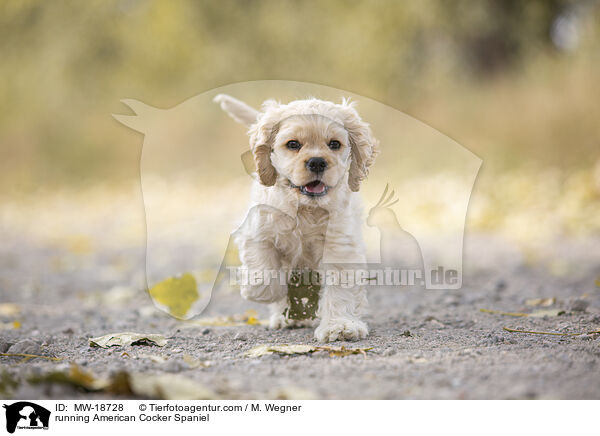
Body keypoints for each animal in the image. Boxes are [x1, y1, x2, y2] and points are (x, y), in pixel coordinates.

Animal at [213, 93, 378, 342]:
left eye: (334, 144)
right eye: (293, 144)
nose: (317, 162)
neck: (306, 208)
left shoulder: (341, 245)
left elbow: (340, 289)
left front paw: (339, 326)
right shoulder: (256, 231)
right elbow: (264, 271)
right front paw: (260, 292)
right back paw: (286, 316)